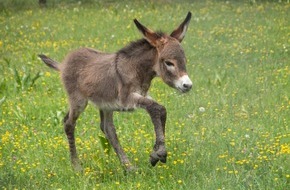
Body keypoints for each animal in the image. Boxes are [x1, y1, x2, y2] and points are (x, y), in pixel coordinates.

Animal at [38, 12, 193, 172]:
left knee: (107, 129)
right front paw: (159, 152)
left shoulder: (142, 95)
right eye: (169, 63)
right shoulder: (126, 99)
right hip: (78, 101)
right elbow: (157, 108)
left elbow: (160, 110)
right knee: (69, 124)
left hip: (105, 105)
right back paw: (77, 166)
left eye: (184, 61)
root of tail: (63, 64)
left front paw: (155, 153)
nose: (187, 85)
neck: (137, 70)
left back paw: (128, 168)